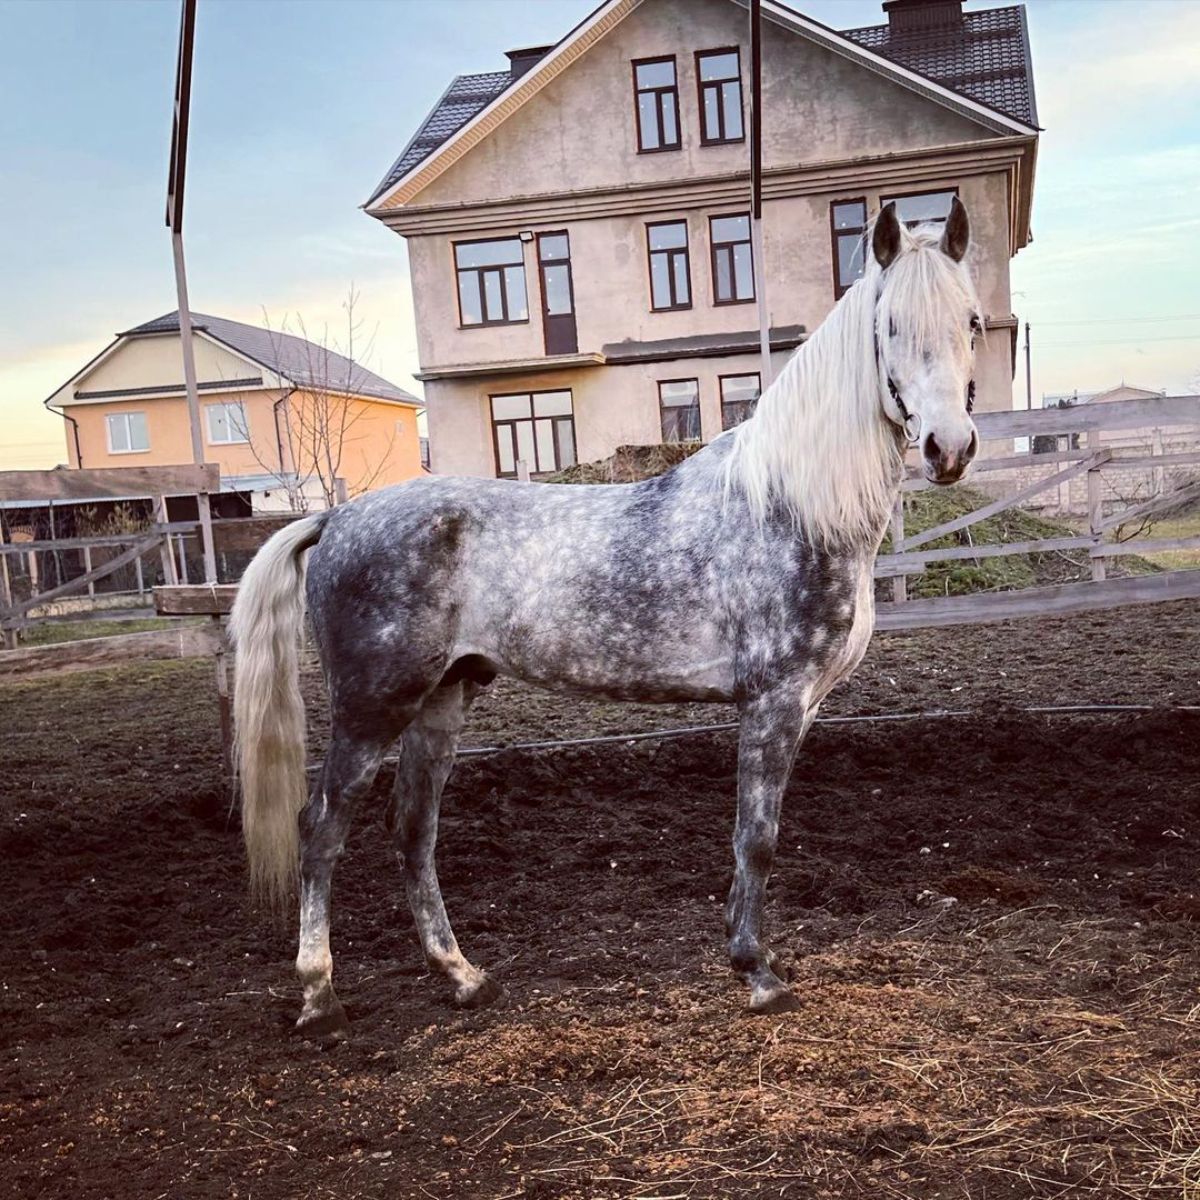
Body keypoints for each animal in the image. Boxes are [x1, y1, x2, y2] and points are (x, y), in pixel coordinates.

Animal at [229, 196, 979, 1032]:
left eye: (972, 322)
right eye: (890, 327)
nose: (949, 448)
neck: (789, 504)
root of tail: (336, 518)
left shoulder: (801, 707)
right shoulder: (773, 702)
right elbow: (756, 838)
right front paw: (756, 972)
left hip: (441, 702)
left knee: (413, 832)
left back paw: (462, 976)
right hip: (372, 709)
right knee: (321, 830)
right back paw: (318, 992)